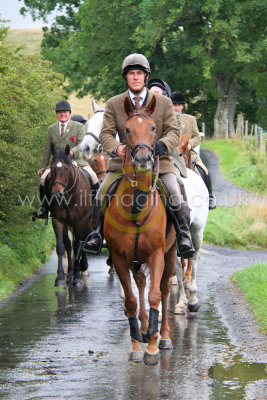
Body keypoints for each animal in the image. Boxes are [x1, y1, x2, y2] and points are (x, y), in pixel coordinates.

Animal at [46, 145, 94, 286]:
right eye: (52, 167)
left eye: (67, 168)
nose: (57, 194)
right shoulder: (58, 220)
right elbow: (61, 247)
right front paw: (61, 277)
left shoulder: (80, 221)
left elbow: (78, 245)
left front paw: (77, 277)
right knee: (68, 244)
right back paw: (71, 273)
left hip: (87, 222)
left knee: (82, 242)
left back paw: (81, 269)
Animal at [104, 97, 178, 366]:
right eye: (127, 130)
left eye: (153, 128)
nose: (145, 159)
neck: (136, 205)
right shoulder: (119, 258)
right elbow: (131, 300)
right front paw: (137, 345)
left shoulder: (156, 254)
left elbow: (156, 296)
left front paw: (153, 348)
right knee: (141, 283)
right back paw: (146, 329)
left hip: (170, 253)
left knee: (164, 290)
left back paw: (163, 336)